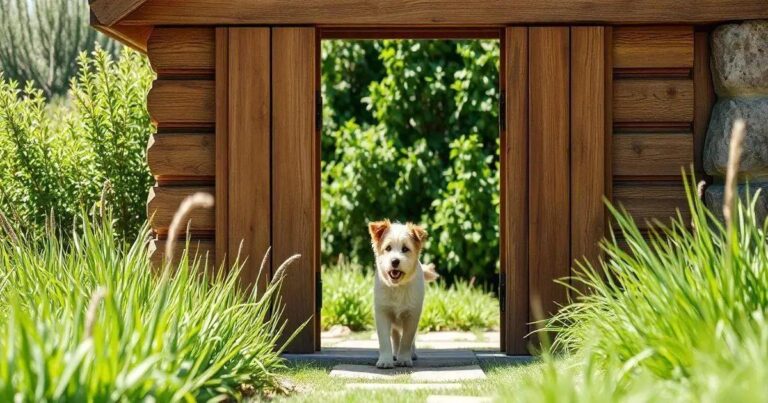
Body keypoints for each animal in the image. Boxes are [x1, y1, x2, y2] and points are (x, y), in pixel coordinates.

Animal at [368, 221, 438, 370]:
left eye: (405, 249)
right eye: (388, 248)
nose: (395, 261)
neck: (398, 287)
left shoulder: (412, 315)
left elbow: (407, 339)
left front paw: (404, 359)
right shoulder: (382, 313)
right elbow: (384, 340)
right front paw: (385, 360)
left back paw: (412, 354)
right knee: (395, 336)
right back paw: (395, 353)